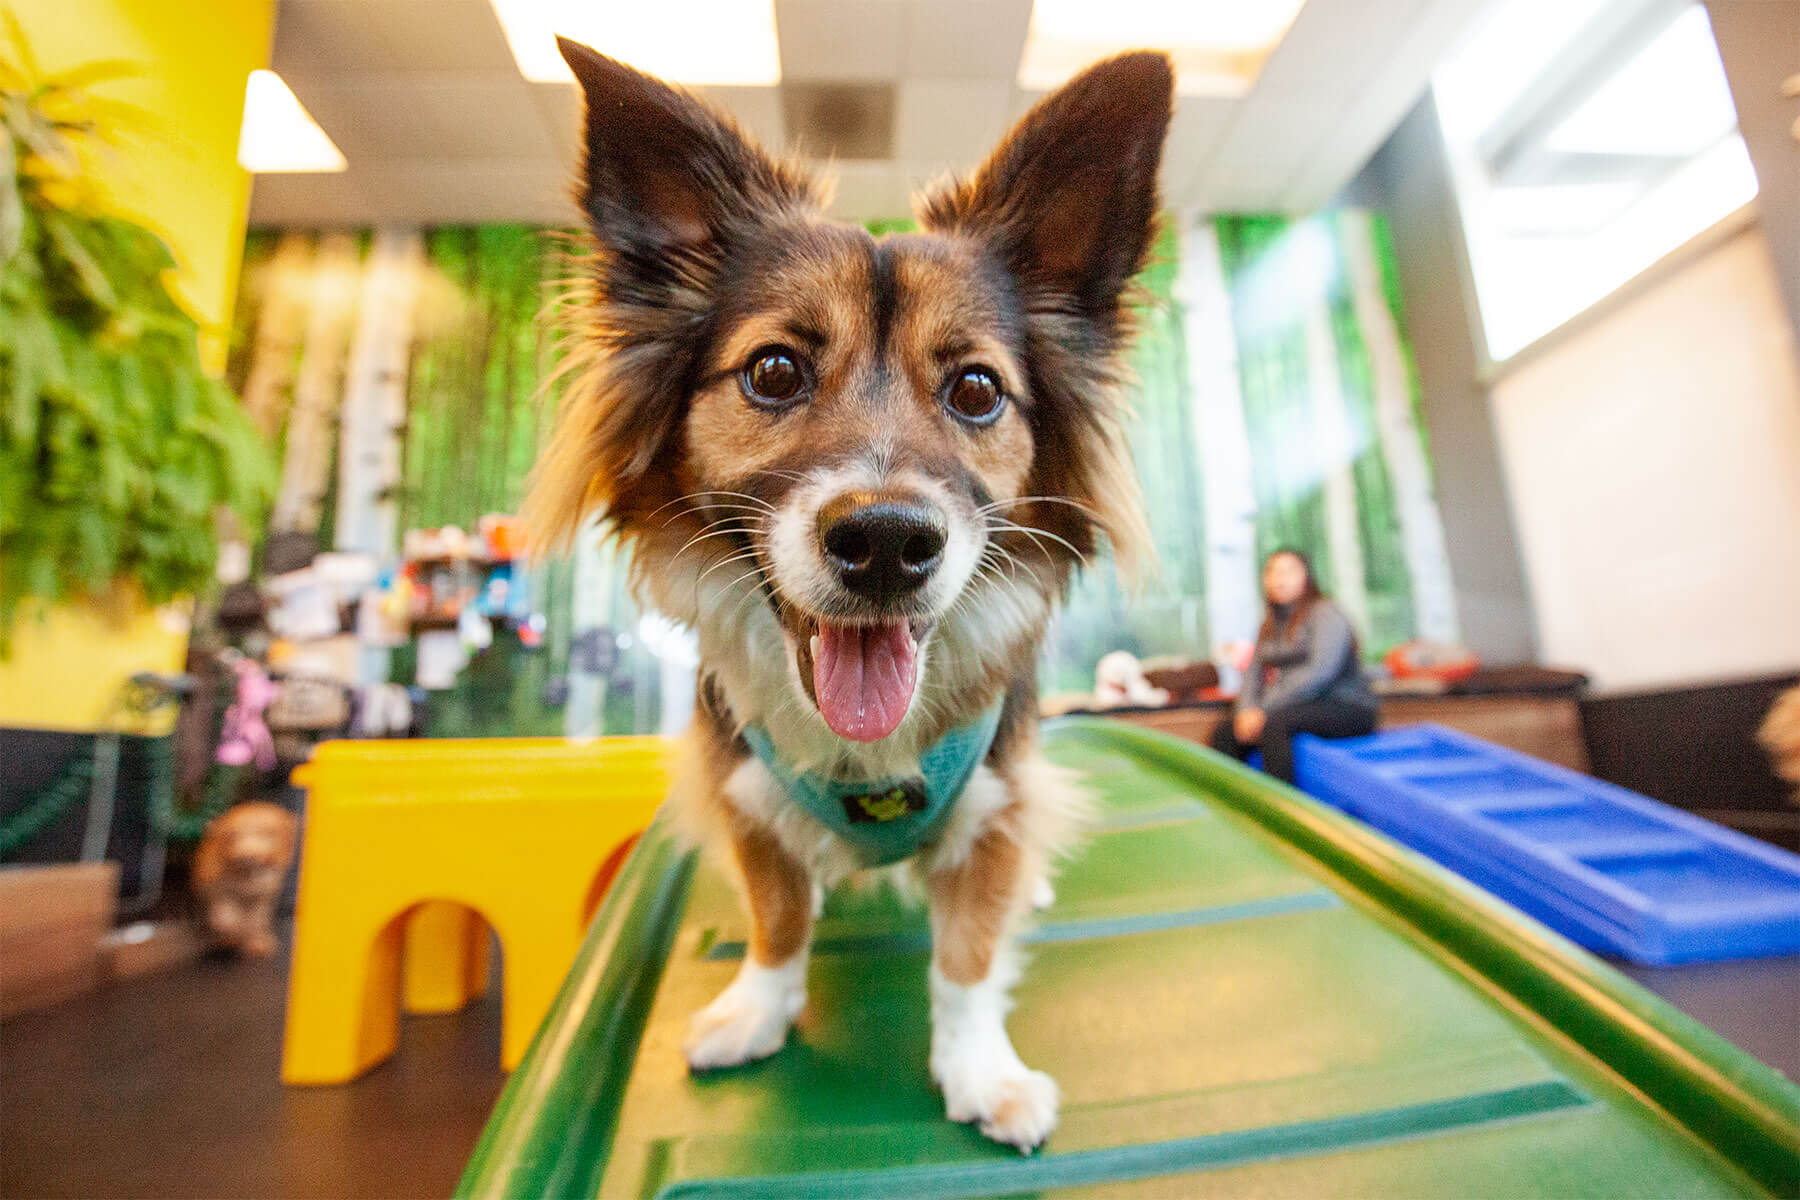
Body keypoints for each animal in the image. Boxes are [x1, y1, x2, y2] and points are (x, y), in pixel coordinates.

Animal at [192, 802, 295, 964]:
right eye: (232, 836)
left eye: (265, 833)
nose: (247, 856)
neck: (247, 874)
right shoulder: (217, 887)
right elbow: (226, 914)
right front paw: (231, 933)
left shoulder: (264, 895)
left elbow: (255, 921)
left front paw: (256, 942)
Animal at [525, 35, 1173, 1151]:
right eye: (775, 371)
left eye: (976, 391)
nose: (885, 543)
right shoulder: (742, 789)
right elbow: (778, 917)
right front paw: (759, 1006)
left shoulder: (995, 804)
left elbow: (968, 957)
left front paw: (980, 1069)